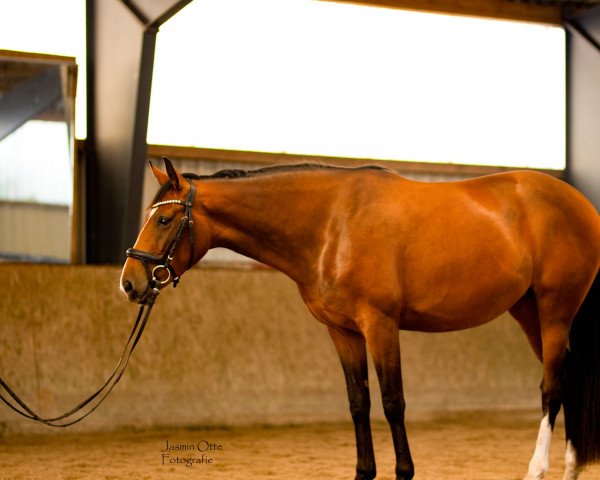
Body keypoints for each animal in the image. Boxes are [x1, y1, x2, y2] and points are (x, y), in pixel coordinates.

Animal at [120, 158, 600, 480]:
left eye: (165, 219)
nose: (129, 283)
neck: (332, 225)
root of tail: (580, 204)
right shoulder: (343, 332)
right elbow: (358, 403)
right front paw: (364, 471)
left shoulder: (380, 326)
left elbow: (392, 402)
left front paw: (404, 471)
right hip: (529, 312)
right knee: (567, 380)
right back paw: (571, 467)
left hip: (555, 311)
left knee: (551, 389)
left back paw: (537, 468)